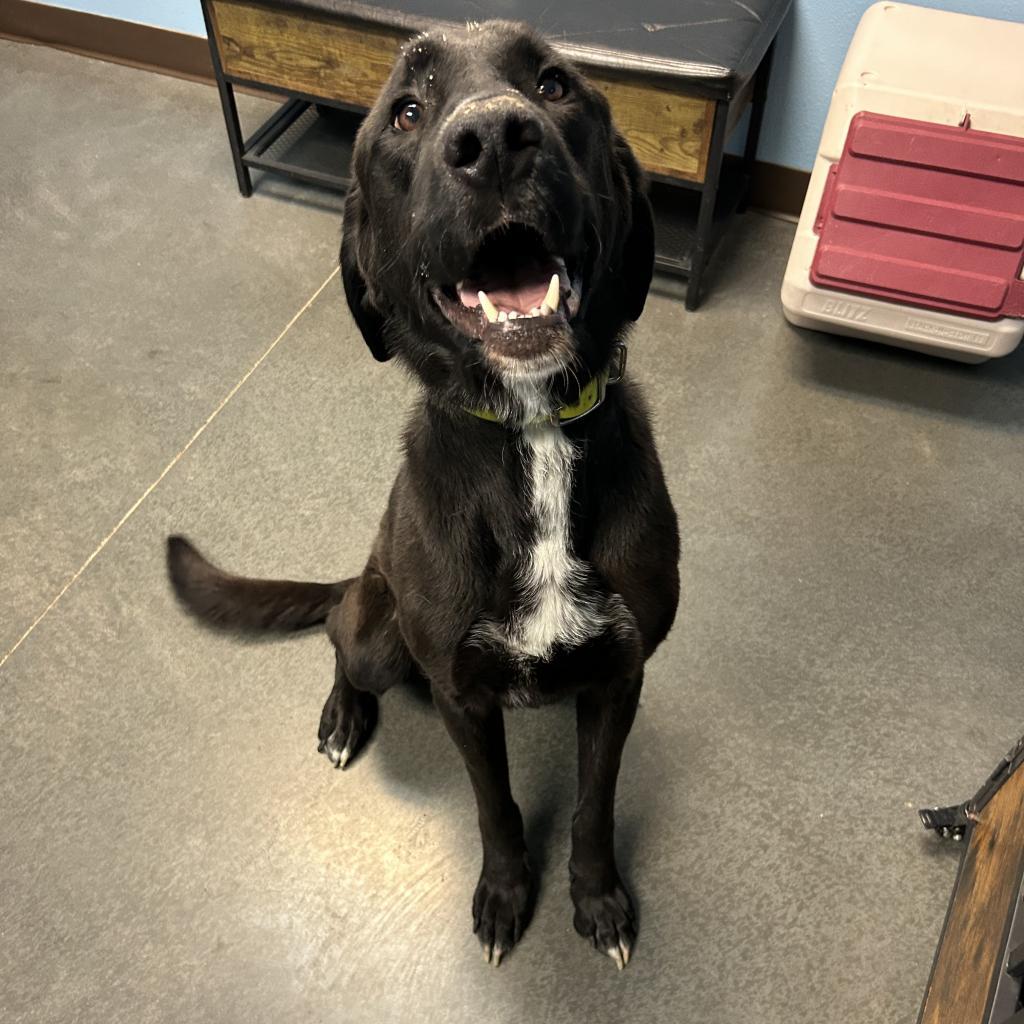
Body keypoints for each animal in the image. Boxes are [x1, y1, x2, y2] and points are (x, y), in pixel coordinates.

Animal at [167, 19, 679, 970]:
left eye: (554, 86)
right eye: (407, 112)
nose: (494, 140)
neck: (531, 430)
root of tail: (365, 569)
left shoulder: (619, 677)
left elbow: (593, 805)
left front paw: (597, 900)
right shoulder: (459, 693)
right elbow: (496, 807)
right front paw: (507, 894)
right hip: (383, 633)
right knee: (341, 638)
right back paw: (341, 717)